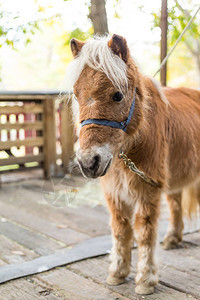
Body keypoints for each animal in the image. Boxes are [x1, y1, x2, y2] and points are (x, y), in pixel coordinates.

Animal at [67, 35, 200, 296]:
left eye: (118, 95)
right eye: (76, 95)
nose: (88, 163)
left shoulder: (148, 190)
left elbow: (145, 231)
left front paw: (145, 279)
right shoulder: (115, 192)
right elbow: (120, 230)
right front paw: (117, 272)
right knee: (176, 203)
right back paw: (173, 238)